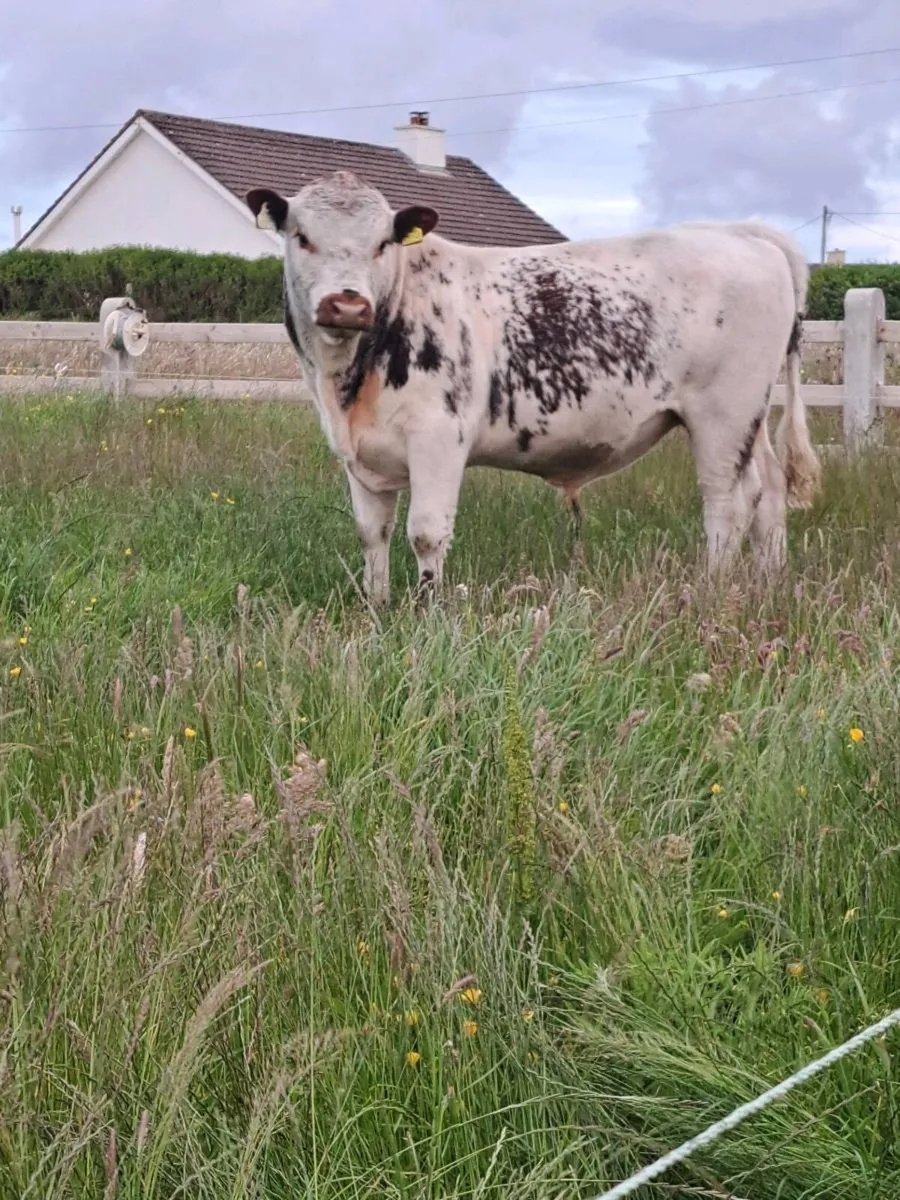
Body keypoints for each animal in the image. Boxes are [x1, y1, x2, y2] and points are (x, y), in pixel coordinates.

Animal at [245, 171, 820, 606]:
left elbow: (426, 532)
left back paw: (713, 590)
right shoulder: (360, 455)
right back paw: (769, 582)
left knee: (728, 502)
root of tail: (743, 233)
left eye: (382, 242)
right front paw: (377, 607)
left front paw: (425, 614)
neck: (346, 381)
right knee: (769, 490)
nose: (347, 304)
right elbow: (372, 533)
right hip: (751, 416)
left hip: (723, 414)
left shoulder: (438, 438)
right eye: (301, 237)